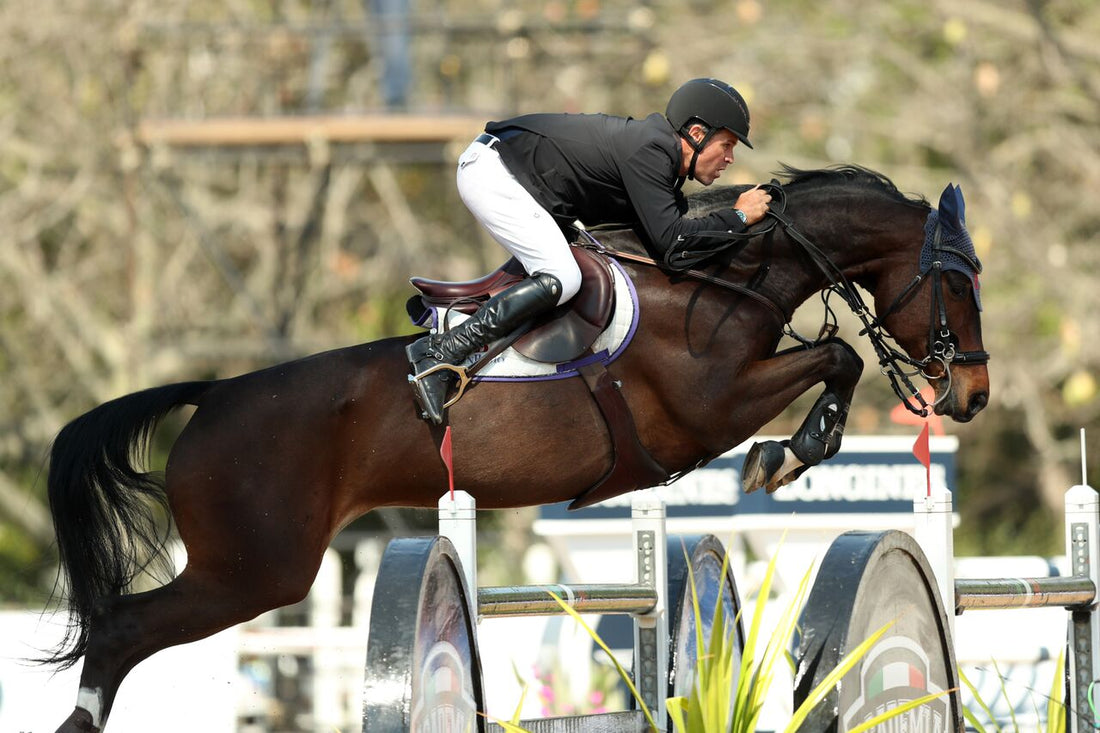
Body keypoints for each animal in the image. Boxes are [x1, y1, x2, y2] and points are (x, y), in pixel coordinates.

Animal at [40, 165, 990, 730]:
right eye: (957, 284)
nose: (972, 395)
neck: (719, 278)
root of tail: (214, 394)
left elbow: (838, 355)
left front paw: (794, 449)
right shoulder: (706, 409)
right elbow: (839, 355)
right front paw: (789, 451)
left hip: (251, 570)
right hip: (254, 570)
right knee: (120, 628)